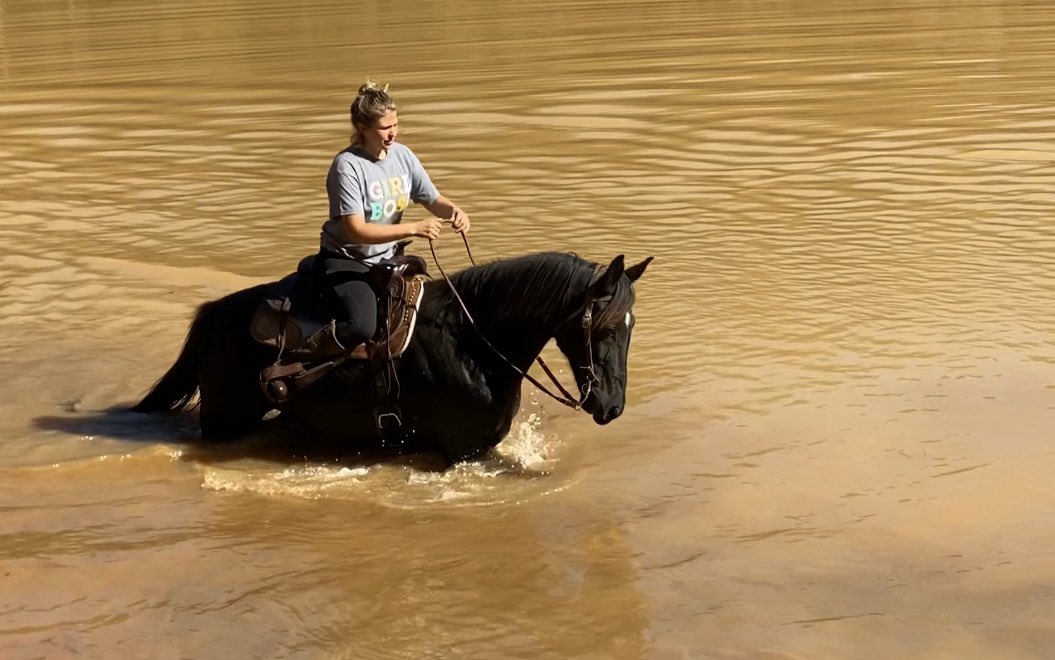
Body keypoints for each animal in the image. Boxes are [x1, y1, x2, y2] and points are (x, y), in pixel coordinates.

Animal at [132, 251, 652, 467]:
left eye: (632, 328)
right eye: (606, 328)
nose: (612, 407)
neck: (473, 342)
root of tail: (213, 315)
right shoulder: (459, 453)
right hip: (224, 420)